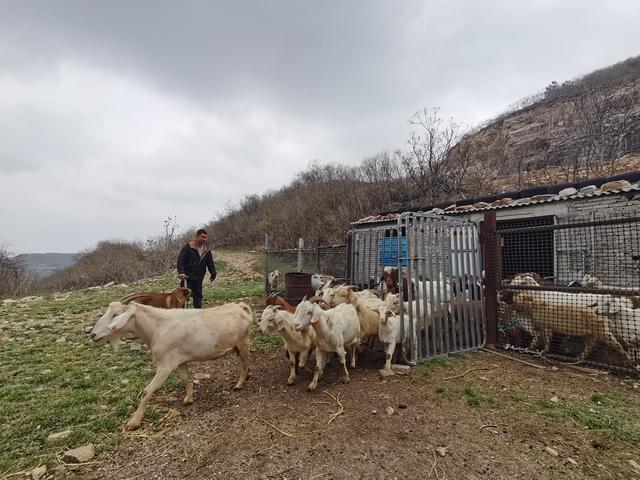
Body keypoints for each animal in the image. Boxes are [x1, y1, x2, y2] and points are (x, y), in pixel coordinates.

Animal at [91, 302, 251, 430]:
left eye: (116, 315)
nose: (92, 335)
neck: (156, 328)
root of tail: (240, 307)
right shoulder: (180, 361)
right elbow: (186, 378)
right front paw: (188, 399)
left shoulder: (165, 366)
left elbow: (146, 392)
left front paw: (133, 421)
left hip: (242, 343)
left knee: (244, 363)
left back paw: (239, 384)